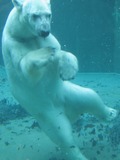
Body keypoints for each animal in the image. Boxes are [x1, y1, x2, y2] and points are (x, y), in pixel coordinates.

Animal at [1, 0, 117, 159]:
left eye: (48, 15)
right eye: (34, 15)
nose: (45, 31)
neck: (23, 34)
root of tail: (70, 113)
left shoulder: (47, 39)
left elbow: (60, 51)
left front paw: (67, 70)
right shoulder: (14, 45)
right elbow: (27, 70)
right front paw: (45, 54)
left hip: (68, 93)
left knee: (90, 96)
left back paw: (111, 113)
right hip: (49, 115)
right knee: (62, 135)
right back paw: (79, 155)